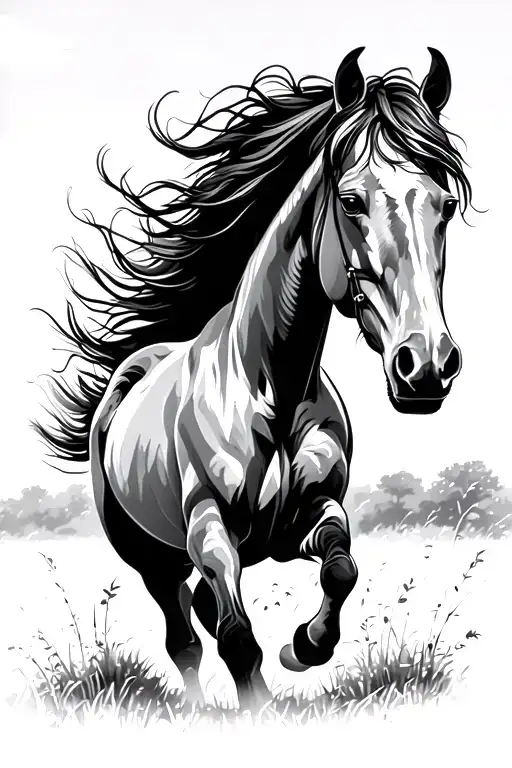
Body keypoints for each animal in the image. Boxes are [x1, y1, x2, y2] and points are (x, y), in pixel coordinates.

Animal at [35, 47, 473, 710]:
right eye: (352, 202)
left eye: (444, 204)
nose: (425, 366)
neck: (270, 391)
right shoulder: (209, 531)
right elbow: (237, 639)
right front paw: (258, 707)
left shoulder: (306, 518)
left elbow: (341, 570)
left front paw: (304, 646)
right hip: (154, 559)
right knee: (185, 636)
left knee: (202, 614)